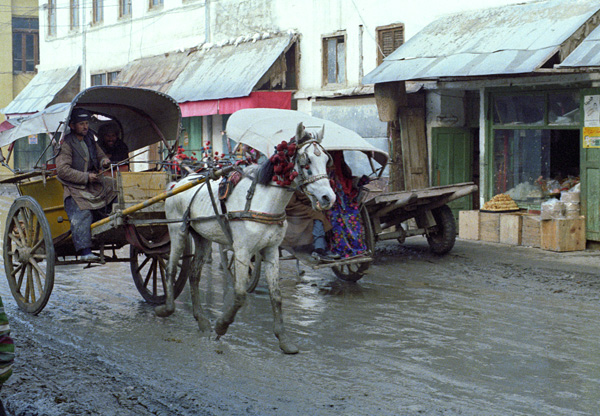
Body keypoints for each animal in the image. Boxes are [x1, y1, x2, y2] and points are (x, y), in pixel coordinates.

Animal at [156, 122, 338, 354]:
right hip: (177, 231)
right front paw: (221, 326)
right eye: (306, 163)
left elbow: (276, 295)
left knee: (194, 275)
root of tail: (176, 183)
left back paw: (202, 320)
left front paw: (283, 339)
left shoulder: (271, 251)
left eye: (326, 161)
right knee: (170, 268)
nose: (328, 198)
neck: (262, 200)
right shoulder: (242, 251)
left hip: (203, 238)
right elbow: (240, 294)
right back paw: (167, 308)